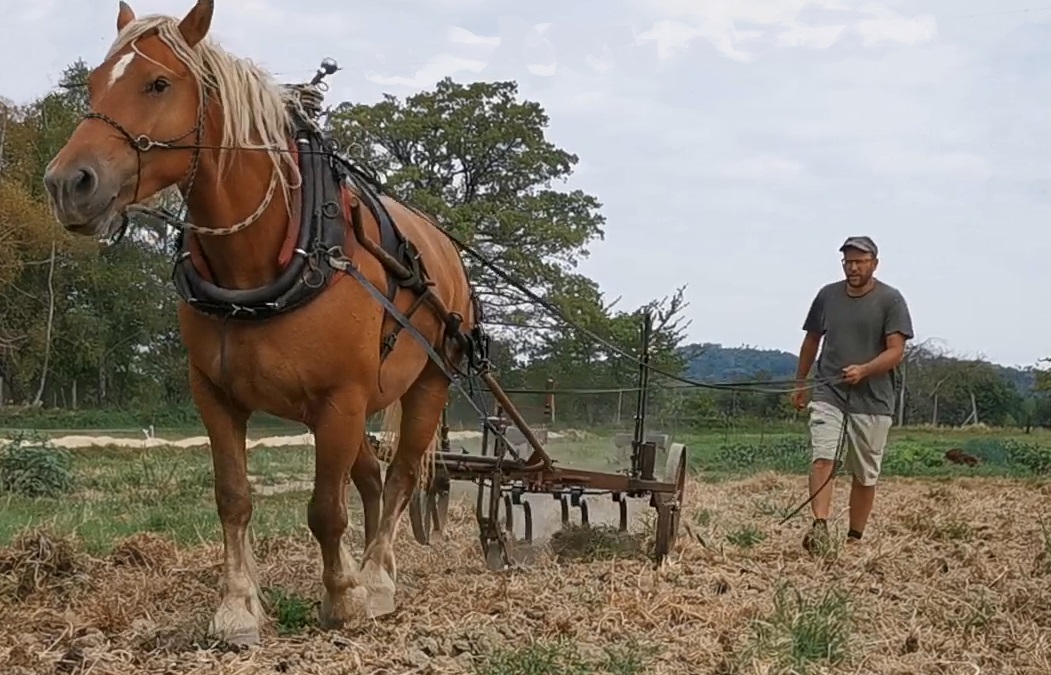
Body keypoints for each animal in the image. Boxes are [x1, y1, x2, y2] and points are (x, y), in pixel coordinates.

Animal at [40, 0, 483, 643]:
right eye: (95, 82)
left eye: (158, 83)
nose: (67, 184)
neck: (259, 262)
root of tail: (445, 251)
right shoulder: (217, 396)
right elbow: (234, 497)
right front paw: (238, 607)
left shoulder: (339, 400)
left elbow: (325, 509)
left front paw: (343, 598)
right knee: (371, 479)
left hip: (425, 385)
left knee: (400, 477)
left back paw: (376, 578)